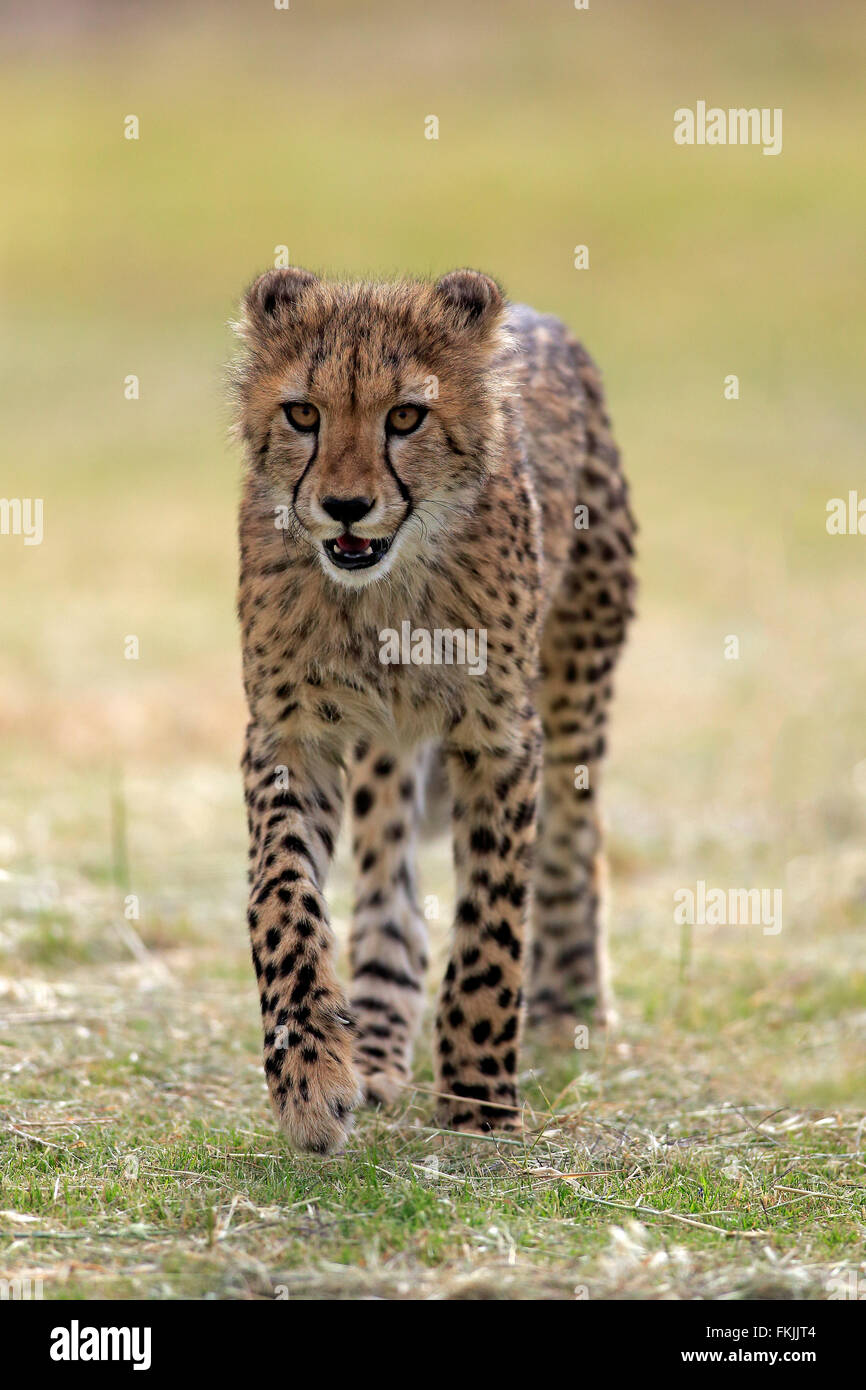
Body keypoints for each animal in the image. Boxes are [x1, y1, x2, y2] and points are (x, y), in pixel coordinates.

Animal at [232, 266, 636, 1154]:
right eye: (303, 413)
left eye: (406, 417)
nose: (346, 506)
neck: (382, 589)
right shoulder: (294, 735)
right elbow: (282, 899)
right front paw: (310, 1075)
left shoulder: (500, 737)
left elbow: (493, 923)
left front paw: (481, 1097)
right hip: (390, 743)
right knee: (391, 898)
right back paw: (379, 1050)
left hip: (578, 679)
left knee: (574, 842)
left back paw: (570, 1005)